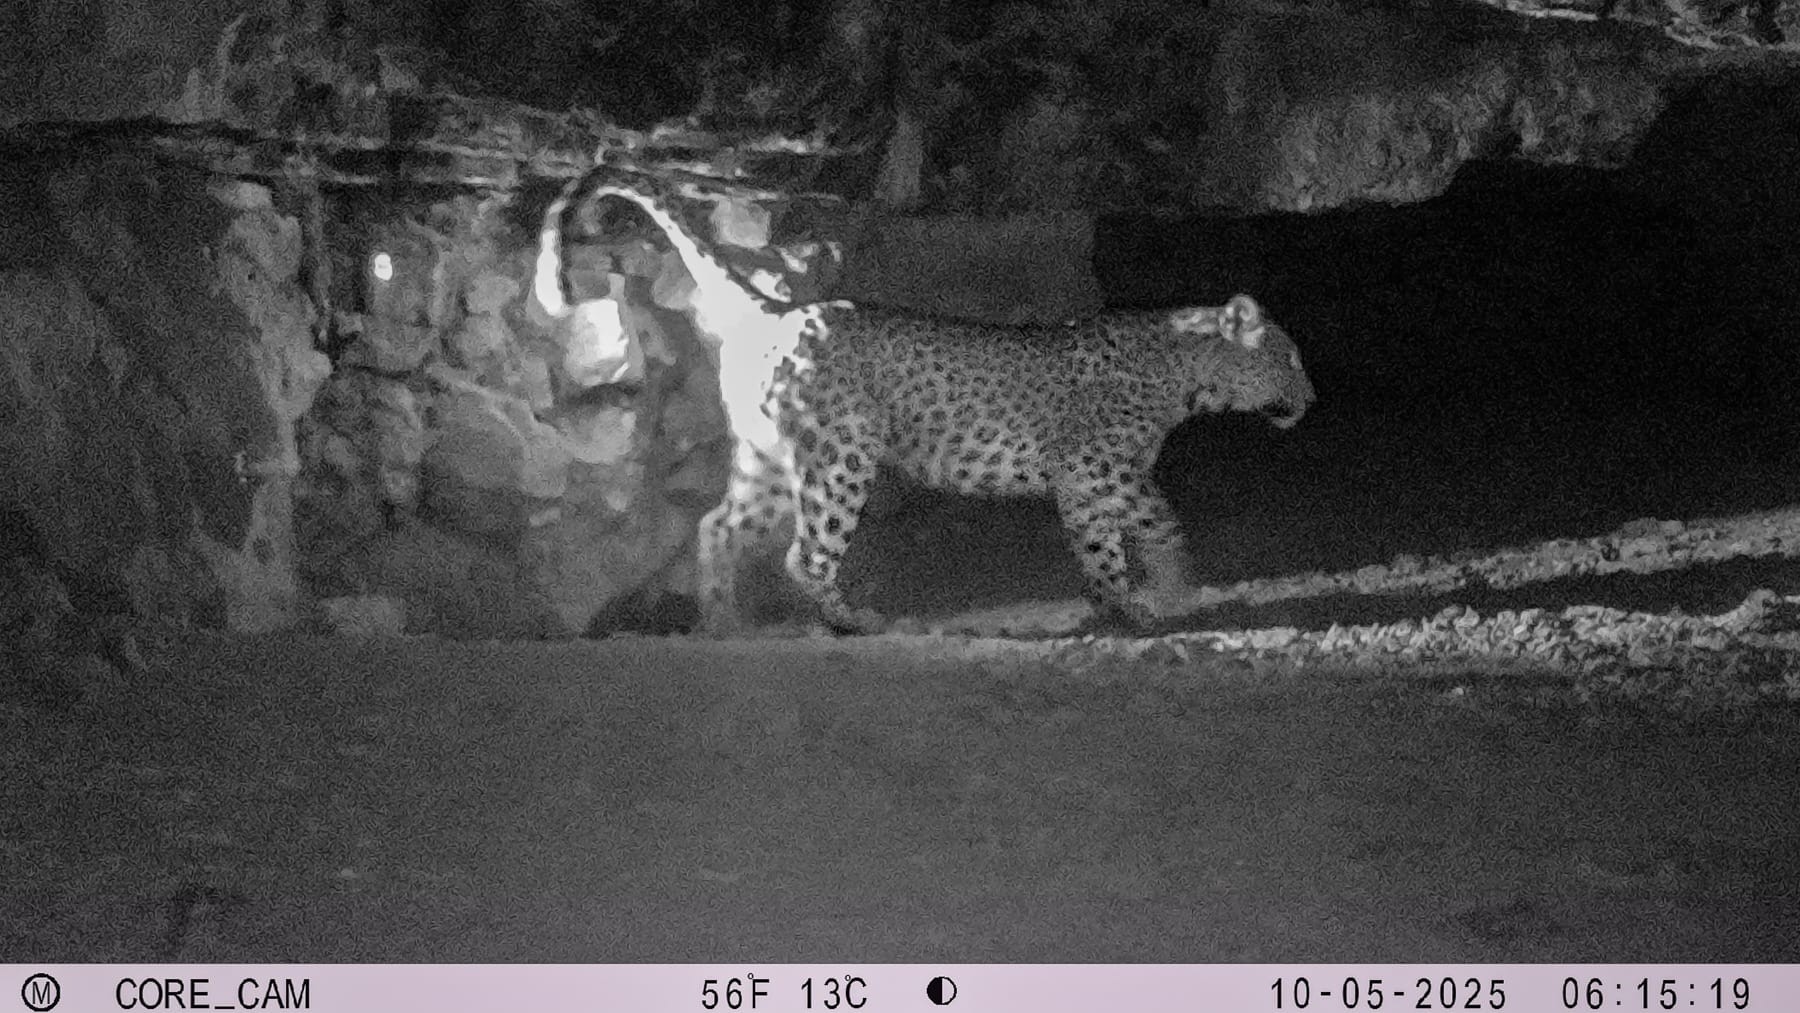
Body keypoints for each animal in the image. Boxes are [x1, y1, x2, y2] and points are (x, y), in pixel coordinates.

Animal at [534, 160, 1317, 636]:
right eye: (1287, 356)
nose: (1311, 398)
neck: (1182, 372)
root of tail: (774, 308)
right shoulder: (1100, 469)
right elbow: (1154, 523)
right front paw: (1169, 592)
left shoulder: (1089, 483)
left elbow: (1106, 545)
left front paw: (1120, 604)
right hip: (839, 457)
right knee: (803, 554)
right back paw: (852, 621)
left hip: (768, 458)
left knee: (716, 525)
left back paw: (724, 623)